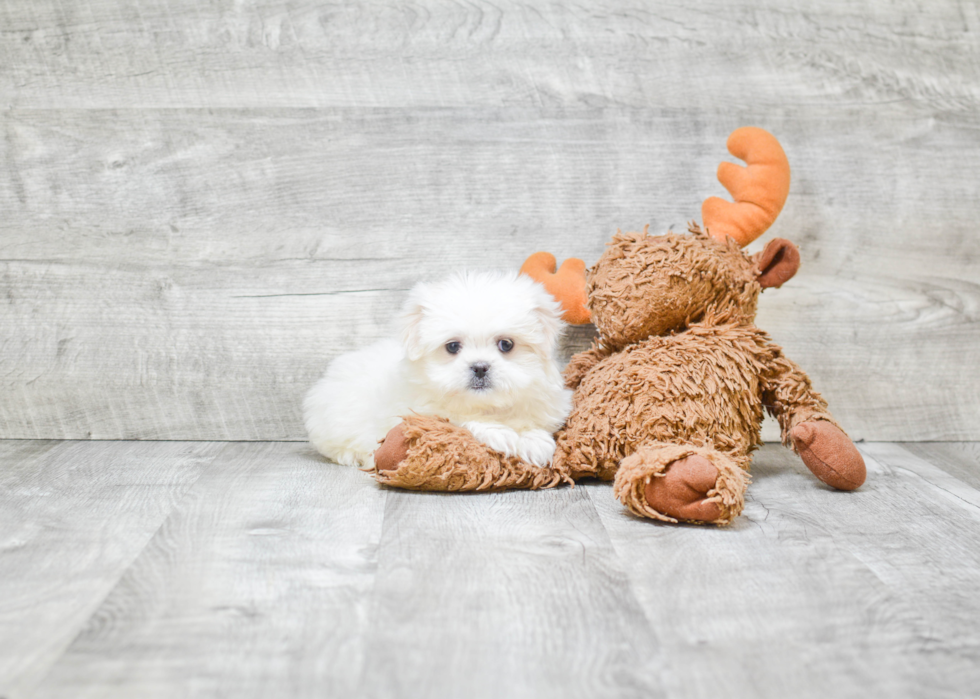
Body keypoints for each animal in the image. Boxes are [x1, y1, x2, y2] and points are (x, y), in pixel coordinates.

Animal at [302, 270, 572, 468]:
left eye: (506, 344)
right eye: (452, 346)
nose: (480, 367)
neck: (486, 405)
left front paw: (534, 440)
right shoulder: (423, 412)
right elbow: (461, 420)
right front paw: (500, 433)